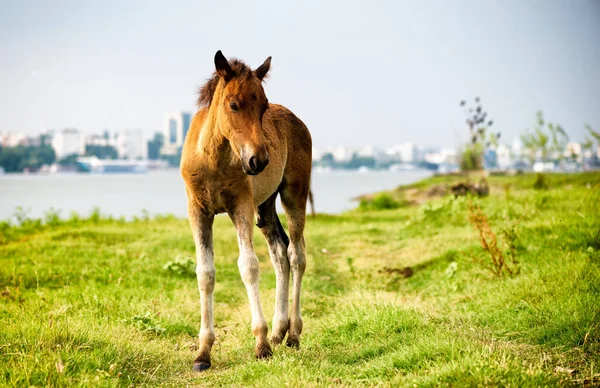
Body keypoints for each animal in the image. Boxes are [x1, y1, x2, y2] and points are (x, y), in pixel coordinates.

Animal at [179, 50, 312, 372]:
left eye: (263, 106)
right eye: (233, 104)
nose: (259, 161)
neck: (213, 159)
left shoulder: (241, 205)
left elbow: (249, 266)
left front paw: (261, 345)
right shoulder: (197, 210)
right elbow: (205, 272)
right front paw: (203, 353)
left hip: (294, 194)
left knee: (296, 254)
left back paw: (292, 334)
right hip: (266, 206)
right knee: (279, 252)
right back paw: (279, 330)